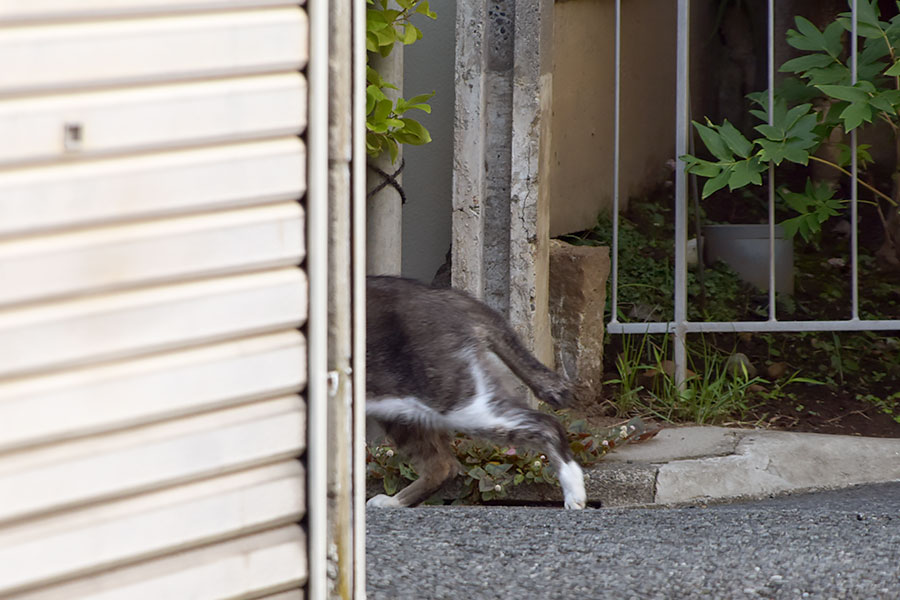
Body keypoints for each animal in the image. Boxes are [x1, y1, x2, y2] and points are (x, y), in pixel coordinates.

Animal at [368, 274, 592, 508]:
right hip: (402, 408)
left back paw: (574, 495)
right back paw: (393, 502)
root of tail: (447, 296)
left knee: (548, 424)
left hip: (460, 400)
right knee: (443, 466)